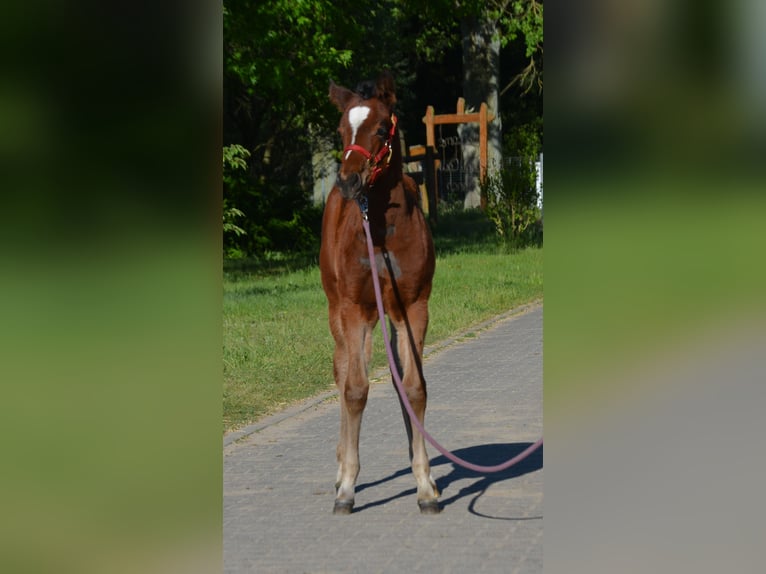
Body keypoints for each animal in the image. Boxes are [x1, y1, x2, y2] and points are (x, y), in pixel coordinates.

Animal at [320, 73, 440, 516]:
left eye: (381, 128)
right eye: (341, 130)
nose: (348, 180)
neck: (382, 232)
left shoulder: (414, 306)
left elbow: (413, 387)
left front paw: (425, 485)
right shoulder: (356, 309)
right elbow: (355, 390)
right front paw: (346, 489)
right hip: (340, 310)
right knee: (342, 372)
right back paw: (340, 469)